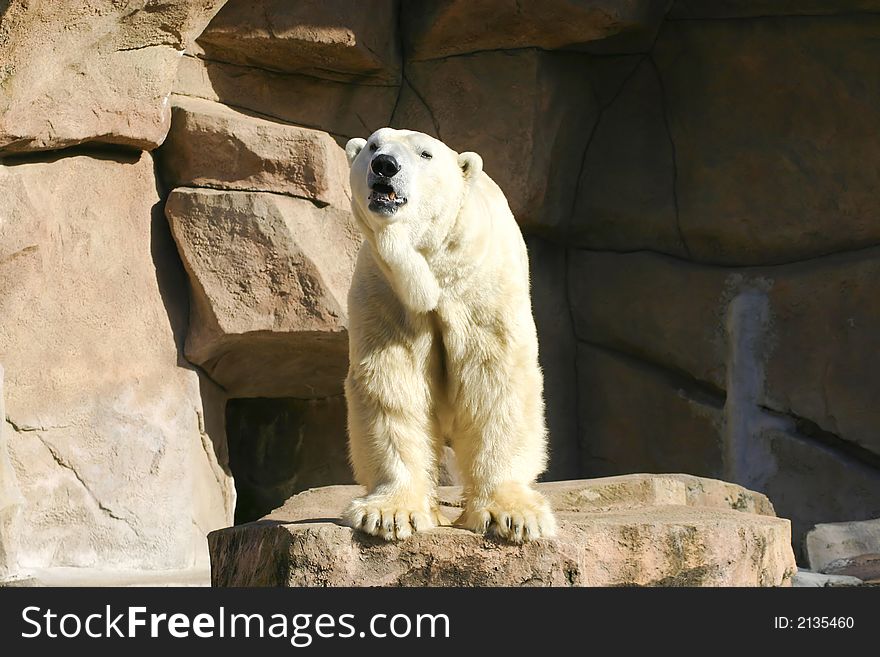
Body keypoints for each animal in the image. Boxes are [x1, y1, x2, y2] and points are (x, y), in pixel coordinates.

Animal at [340, 125, 552, 540]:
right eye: (373, 145)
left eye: (425, 153)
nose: (384, 165)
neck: (434, 266)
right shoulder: (388, 292)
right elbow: (394, 381)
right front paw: (390, 513)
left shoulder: (481, 289)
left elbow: (495, 378)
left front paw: (513, 515)